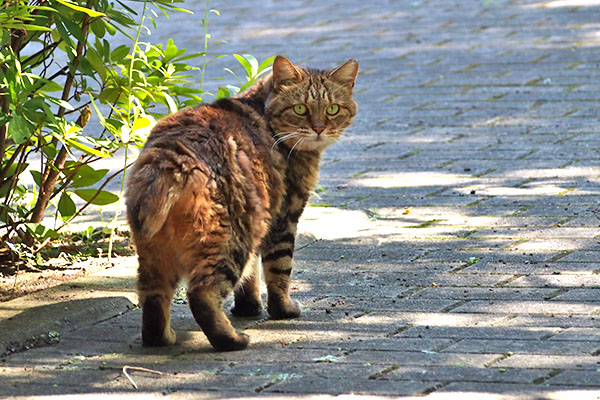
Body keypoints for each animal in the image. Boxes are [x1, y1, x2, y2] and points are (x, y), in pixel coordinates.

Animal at [125, 55, 356, 350]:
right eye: (300, 108)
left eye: (333, 109)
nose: (318, 129)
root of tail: (172, 156)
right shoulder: (283, 218)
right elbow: (279, 272)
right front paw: (283, 310)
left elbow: (251, 277)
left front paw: (249, 308)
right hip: (231, 239)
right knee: (202, 295)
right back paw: (233, 340)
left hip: (155, 253)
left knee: (153, 299)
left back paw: (162, 338)